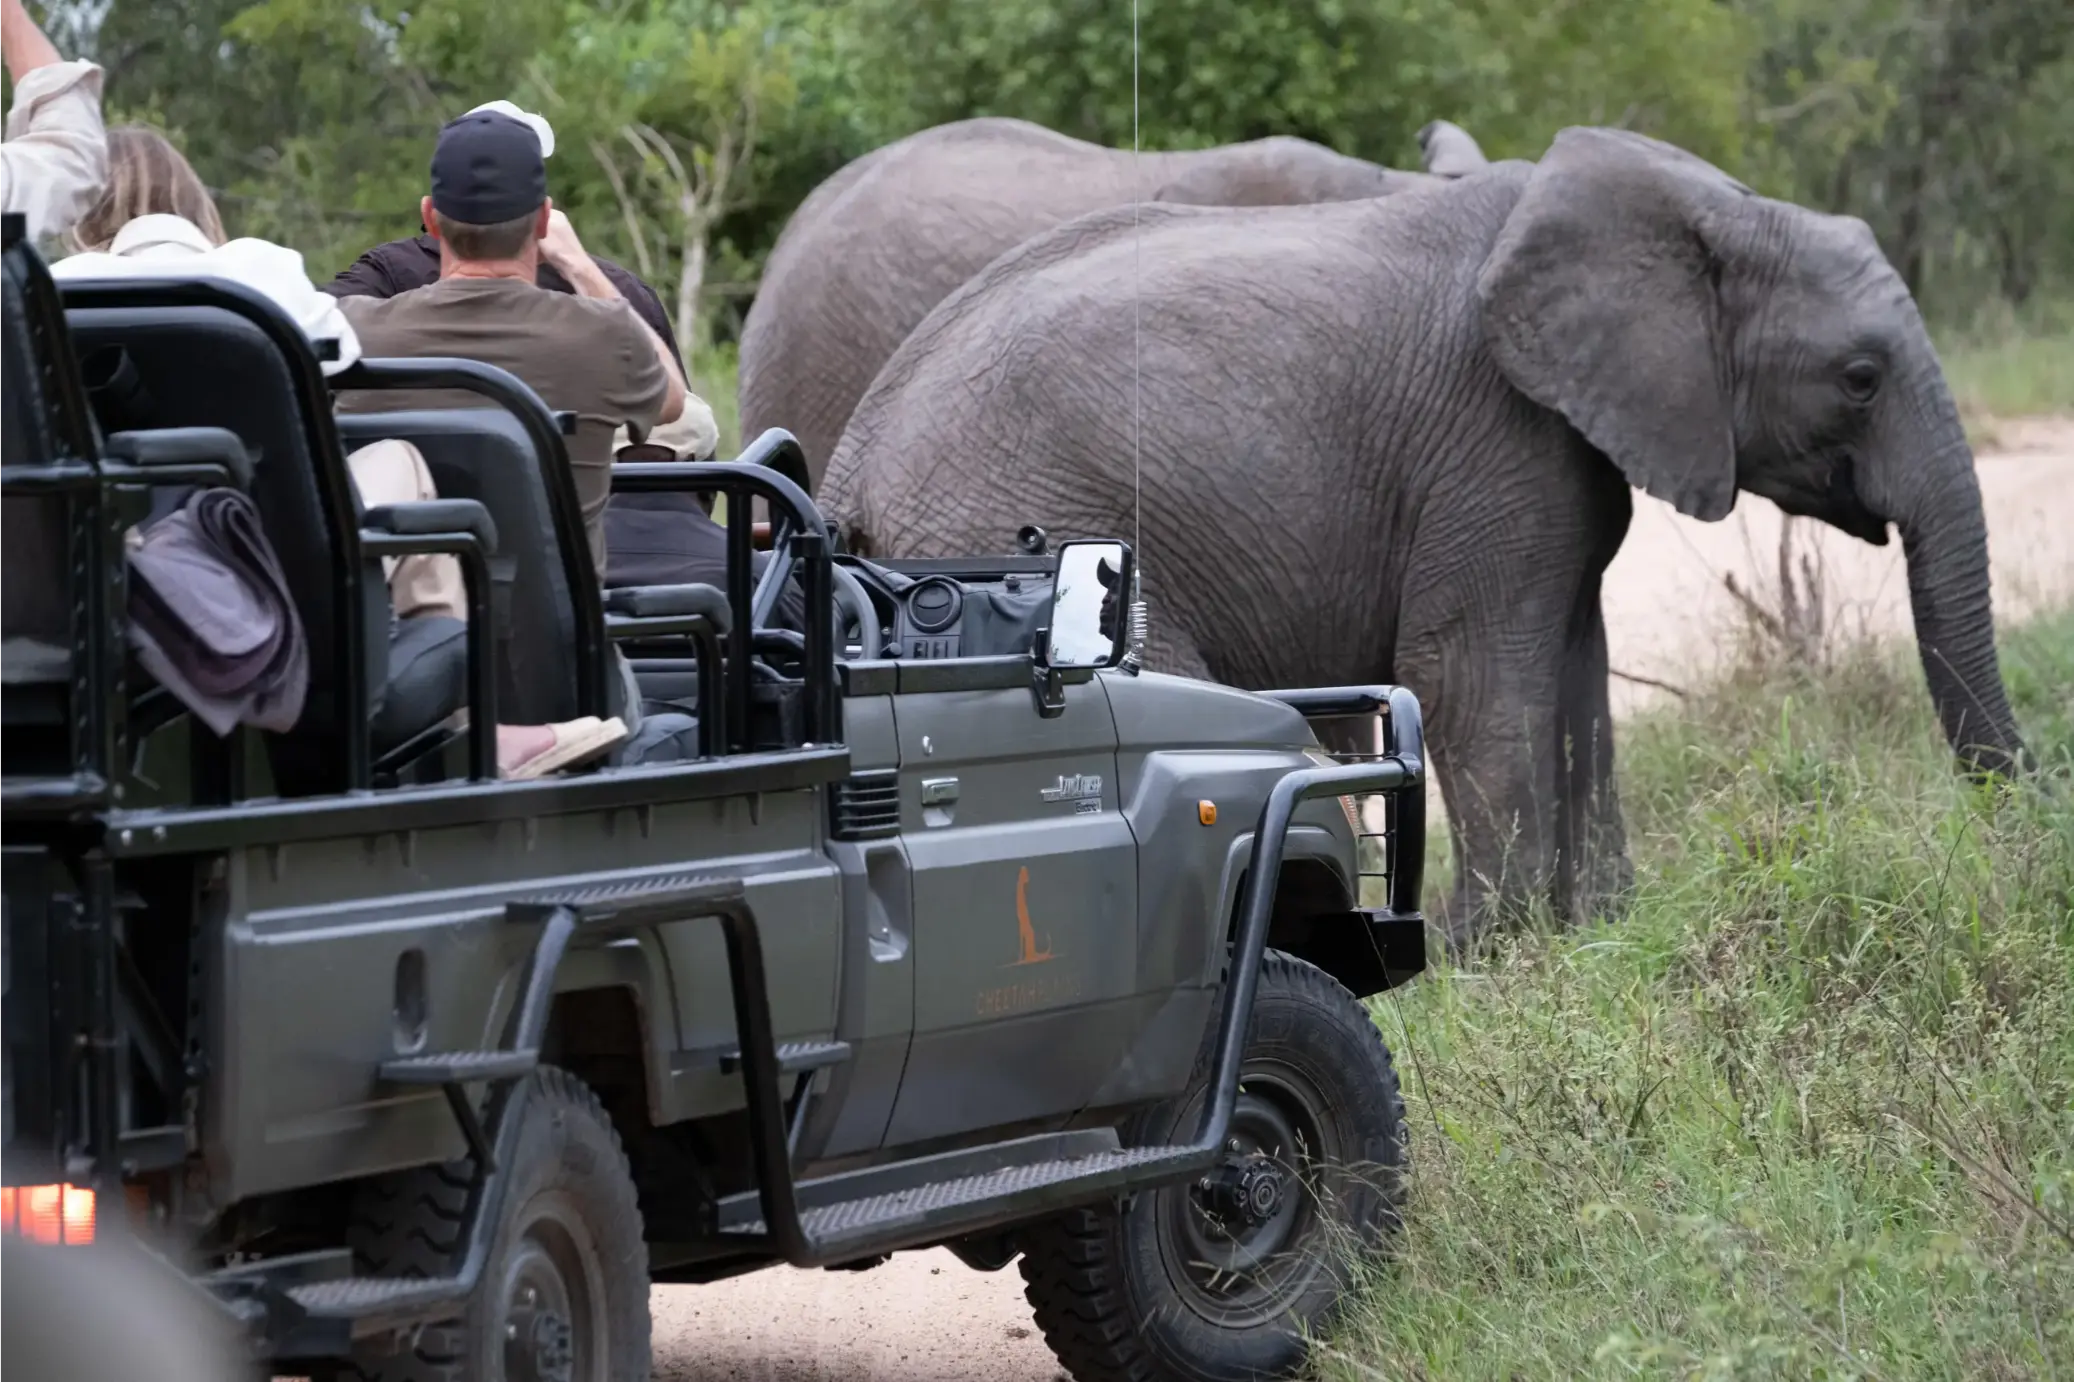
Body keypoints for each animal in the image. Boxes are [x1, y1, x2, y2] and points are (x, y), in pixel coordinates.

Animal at [820, 126, 2029, 943]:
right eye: (1859, 377)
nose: (2014, 830)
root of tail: (850, 454)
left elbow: (1577, 668)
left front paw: (1598, 926)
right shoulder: (1489, 436)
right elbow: (1472, 674)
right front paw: (1494, 948)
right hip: (1023, 529)